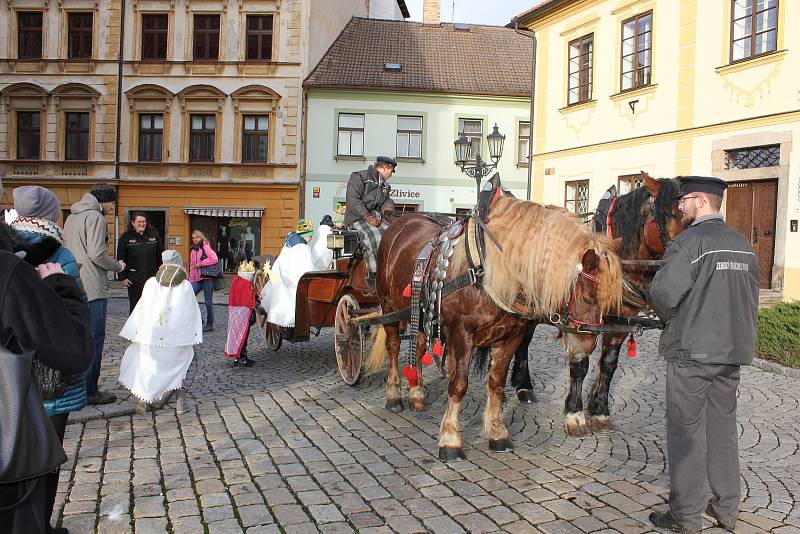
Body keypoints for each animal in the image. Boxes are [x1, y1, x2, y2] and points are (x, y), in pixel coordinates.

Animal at [366, 192, 620, 460]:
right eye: (588, 298)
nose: (586, 345)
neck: (486, 272)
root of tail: (401, 220)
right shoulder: (461, 336)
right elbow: (458, 385)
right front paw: (450, 440)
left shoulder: (510, 337)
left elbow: (496, 383)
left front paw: (497, 432)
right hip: (389, 307)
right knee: (394, 347)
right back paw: (394, 395)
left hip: (422, 314)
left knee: (419, 345)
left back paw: (417, 393)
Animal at [510, 174, 684, 438]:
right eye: (667, 214)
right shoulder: (580, 322)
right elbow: (581, 364)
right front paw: (575, 414)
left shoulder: (619, 324)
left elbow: (609, 364)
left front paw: (599, 409)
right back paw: (523, 387)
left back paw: (522, 385)